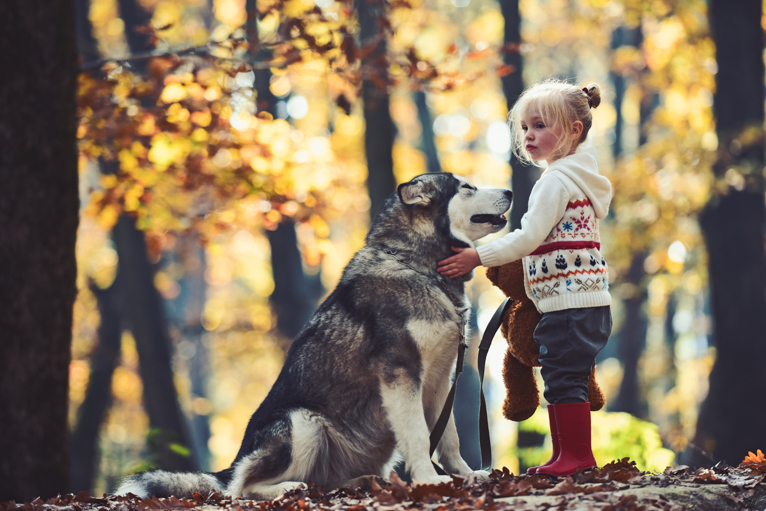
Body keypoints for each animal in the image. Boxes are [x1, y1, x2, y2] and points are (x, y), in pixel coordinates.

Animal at [117, 174, 512, 502]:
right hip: (303, 422)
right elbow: (417, 434)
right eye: (467, 187)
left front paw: (466, 475)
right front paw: (430, 480)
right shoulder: (400, 372)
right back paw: (289, 488)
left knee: (320, 481)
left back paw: (362, 482)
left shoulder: (442, 378)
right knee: (240, 488)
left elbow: (449, 438)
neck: (418, 266)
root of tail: (230, 464)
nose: (509, 191)